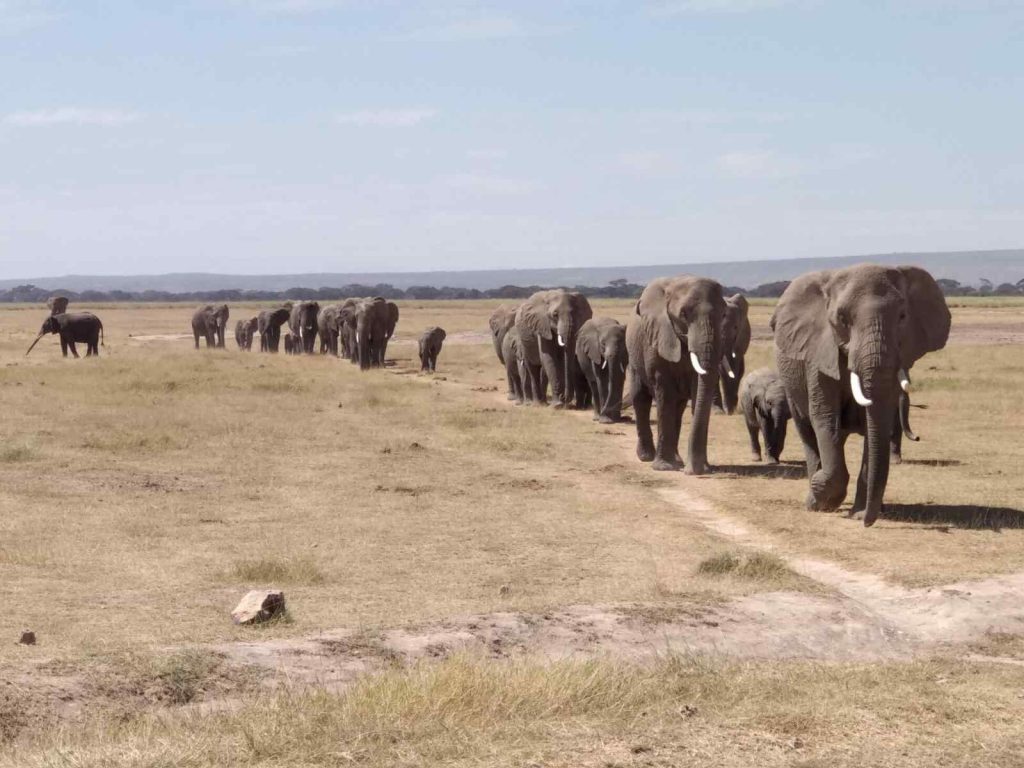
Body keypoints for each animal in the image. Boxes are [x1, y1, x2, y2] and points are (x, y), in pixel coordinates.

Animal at [626, 276, 726, 473]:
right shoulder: (657, 337)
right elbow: (664, 392)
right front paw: (664, 467)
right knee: (640, 398)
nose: (692, 471)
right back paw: (646, 457)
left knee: (678, 408)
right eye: (683, 314)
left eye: (724, 315)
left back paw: (677, 459)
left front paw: (701, 467)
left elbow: (697, 390)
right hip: (634, 356)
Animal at [771, 264, 950, 526]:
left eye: (902, 316)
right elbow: (825, 418)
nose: (868, 522)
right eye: (842, 319)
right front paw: (823, 498)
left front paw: (859, 513)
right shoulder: (819, 353)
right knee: (807, 429)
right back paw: (814, 499)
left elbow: (874, 424)